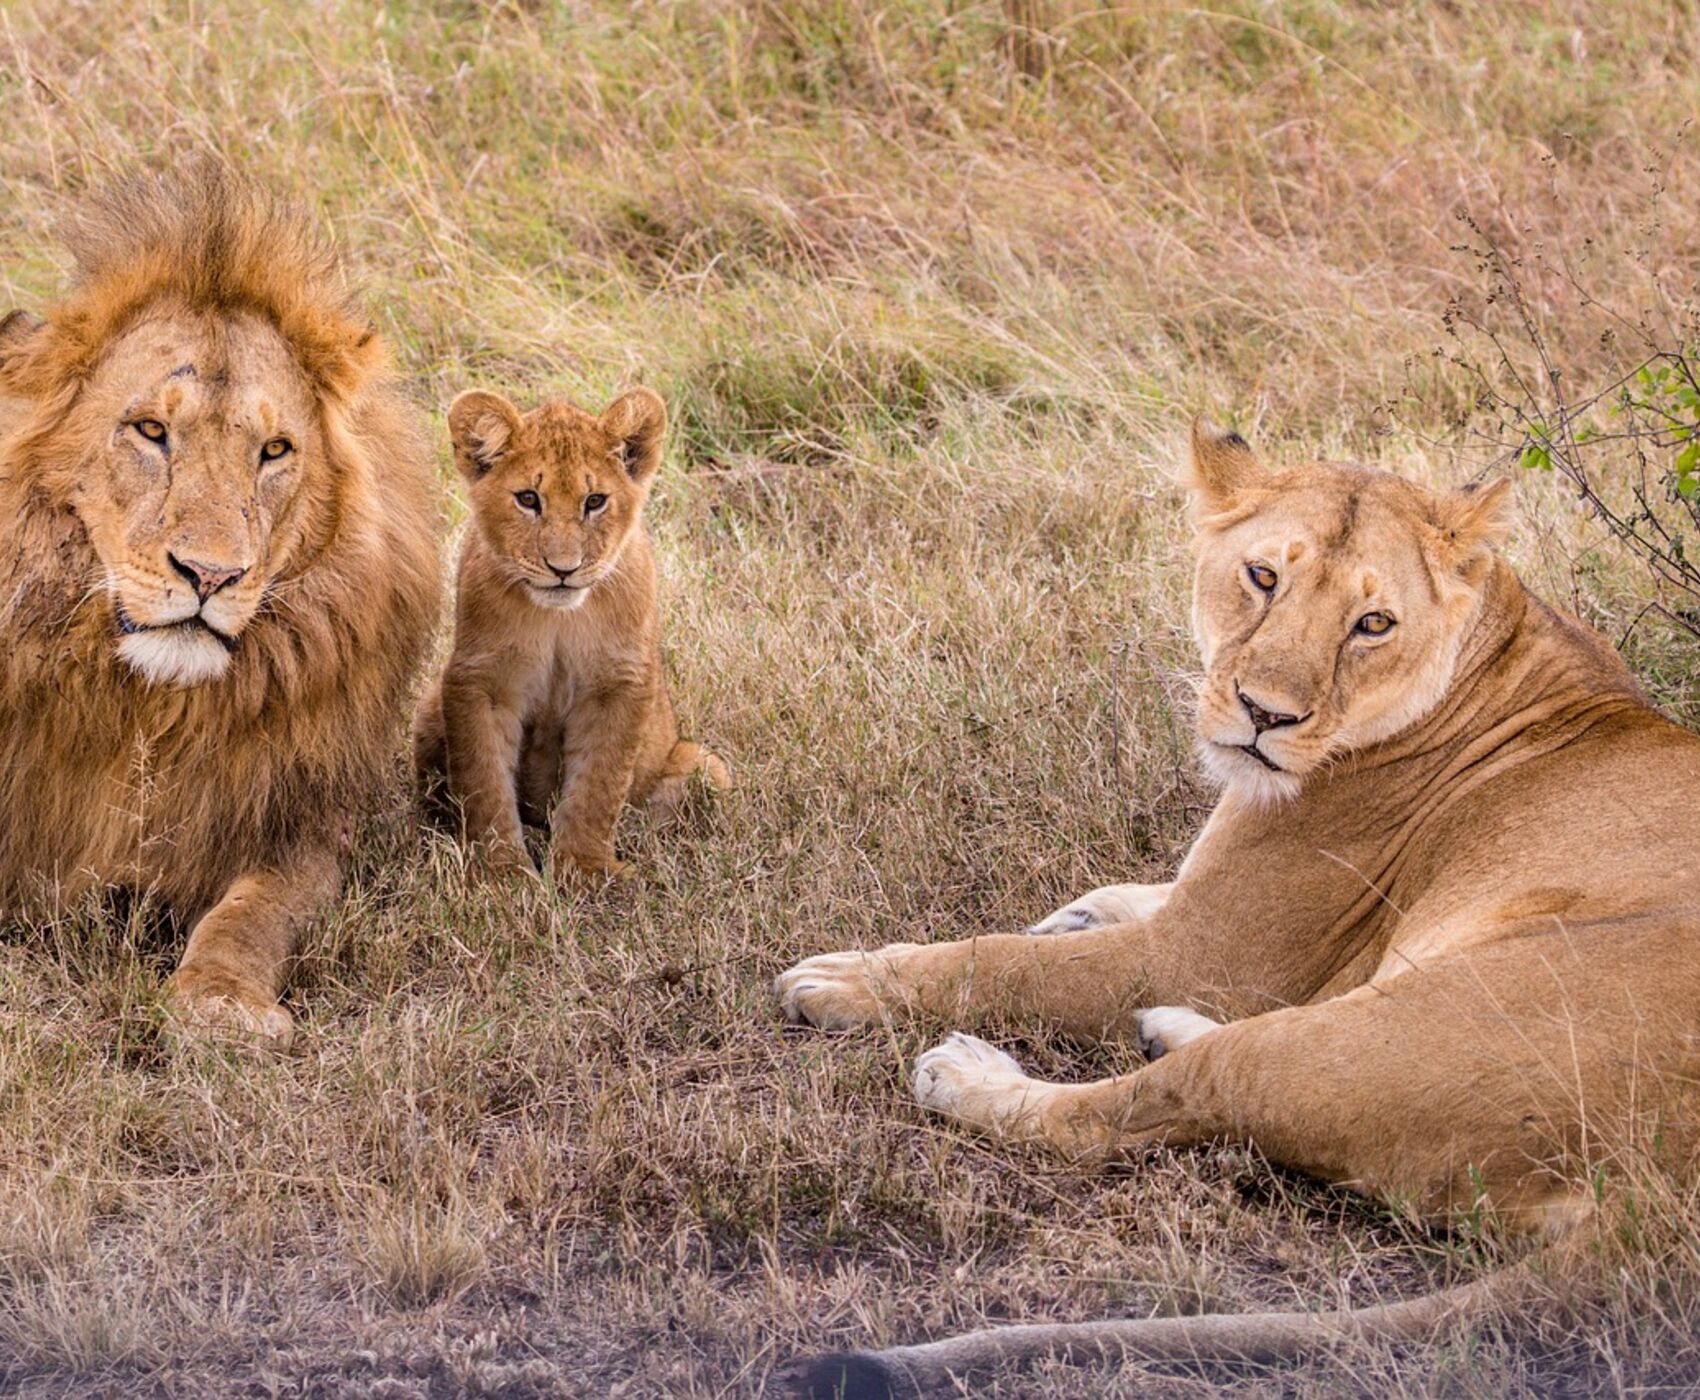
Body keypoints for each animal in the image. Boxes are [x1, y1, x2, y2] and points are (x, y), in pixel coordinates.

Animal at [0, 169, 445, 1046]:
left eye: (273, 451)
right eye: (148, 430)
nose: (209, 576)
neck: (147, 710)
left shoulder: (300, 824)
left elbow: (253, 915)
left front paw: (221, 1005)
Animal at [778, 421, 1700, 1393]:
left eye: (1373, 624)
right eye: (1262, 577)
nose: (1264, 715)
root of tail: (1662, 1223)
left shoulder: (1208, 956)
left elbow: (1002, 961)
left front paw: (847, 979)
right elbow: (1127, 894)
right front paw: (1079, 910)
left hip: (1376, 1035)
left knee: (1129, 1113)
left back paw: (968, 1073)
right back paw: (1160, 1027)